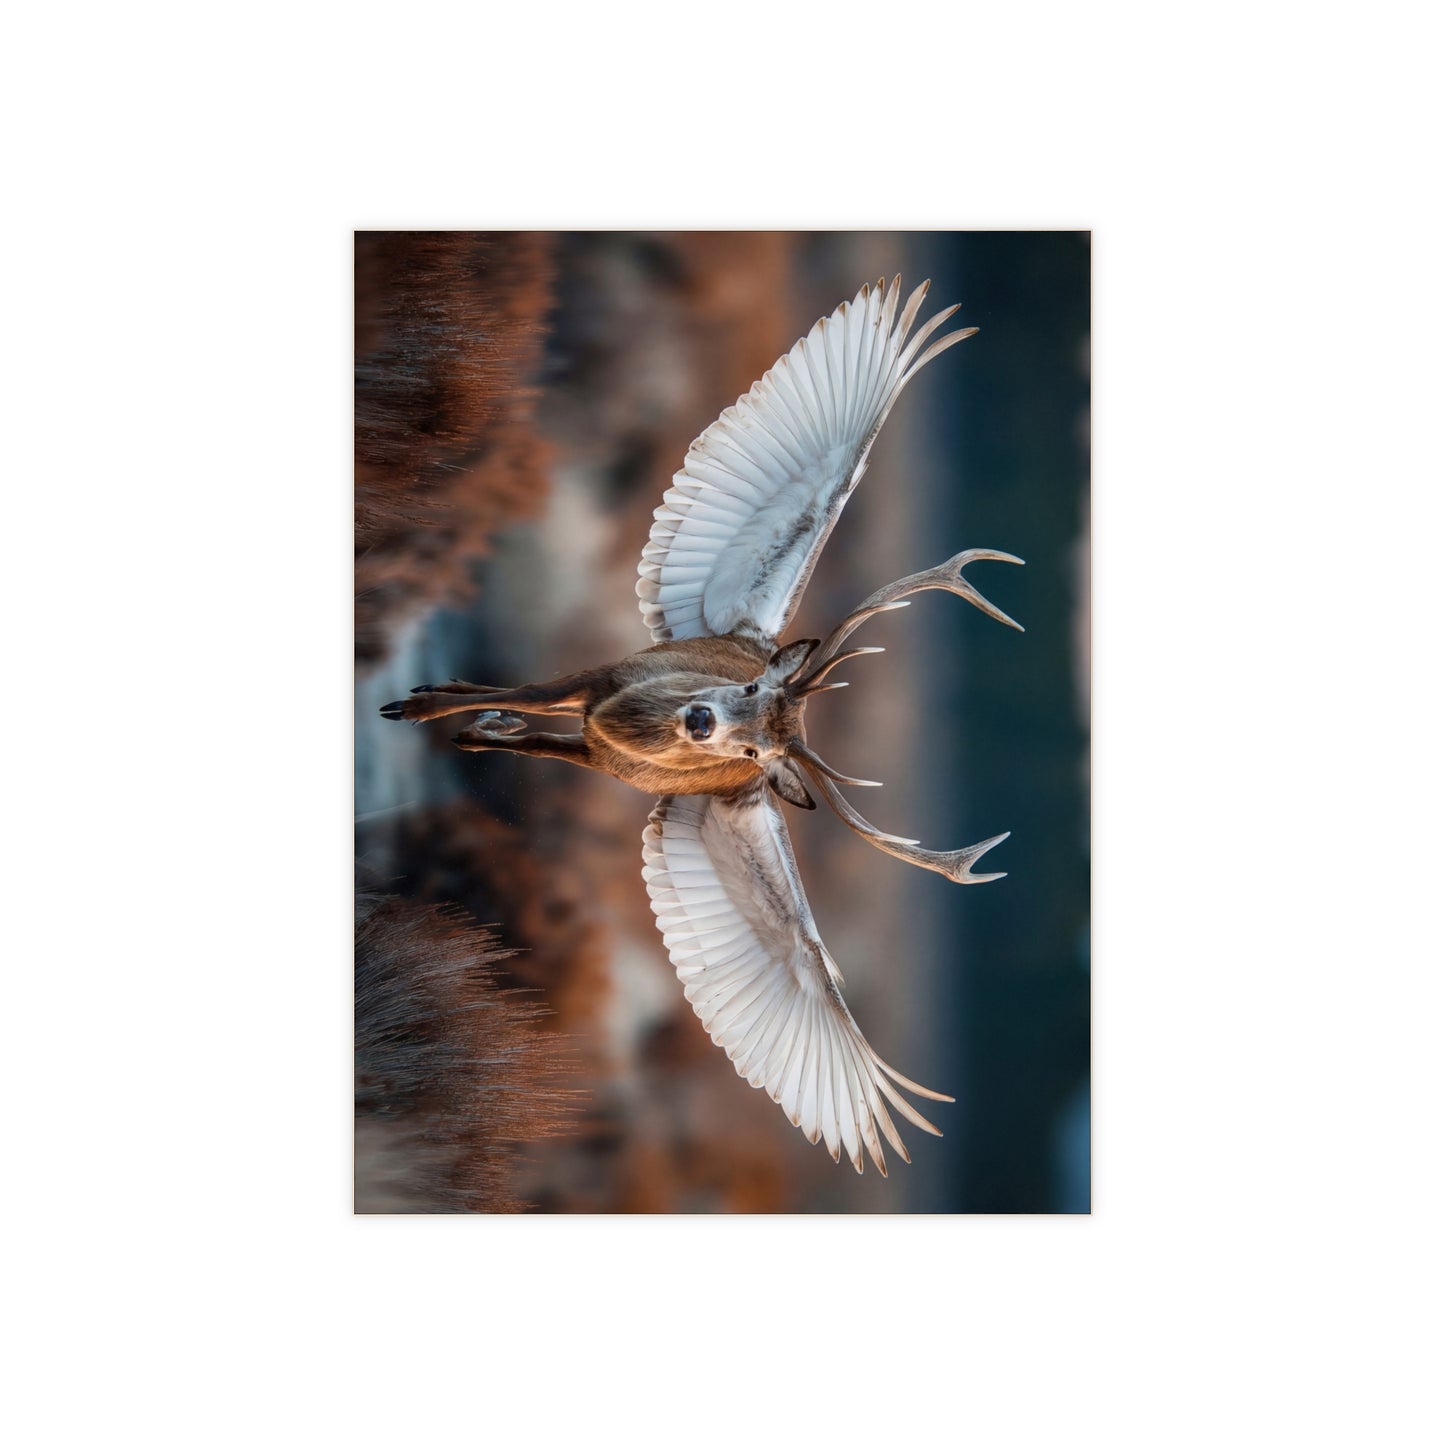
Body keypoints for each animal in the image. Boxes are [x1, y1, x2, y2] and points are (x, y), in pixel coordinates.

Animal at [381, 276, 1023, 1176]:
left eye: (756, 746)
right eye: (747, 681)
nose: (697, 717)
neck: (644, 721)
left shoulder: (609, 736)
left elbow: (809, 959)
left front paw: (454, 720)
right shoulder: (605, 680)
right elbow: (526, 687)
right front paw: (416, 702)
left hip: (595, 755)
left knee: (540, 737)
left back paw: (484, 731)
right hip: (600, 712)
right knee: (534, 713)